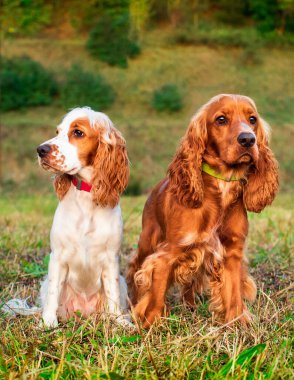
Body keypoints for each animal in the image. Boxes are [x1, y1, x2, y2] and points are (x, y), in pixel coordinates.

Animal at [35, 107, 129, 326]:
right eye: (58, 131)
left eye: (78, 133)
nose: (40, 150)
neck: (87, 197)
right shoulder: (58, 256)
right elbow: (53, 292)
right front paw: (48, 323)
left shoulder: (111, 259)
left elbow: (113, 294)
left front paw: (120, 321)